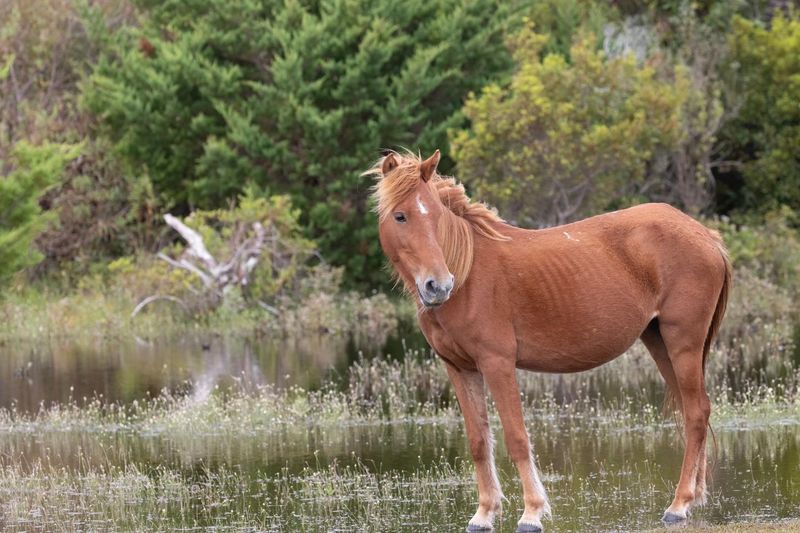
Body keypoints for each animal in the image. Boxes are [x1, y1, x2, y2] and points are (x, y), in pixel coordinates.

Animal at [366, 149, 731, 533]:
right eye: (400, 216)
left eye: (436, 216)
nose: (438, 285)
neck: (468, 274)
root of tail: (706, 236)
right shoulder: (460, 368)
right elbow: (479, 440)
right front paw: (484, 514)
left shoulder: (497, 363)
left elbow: (516, 438)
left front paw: (532, 512)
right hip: (660, 342)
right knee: (695, 411)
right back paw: (693, 498)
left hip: (683, 342)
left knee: (696, 413)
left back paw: (679, 504)